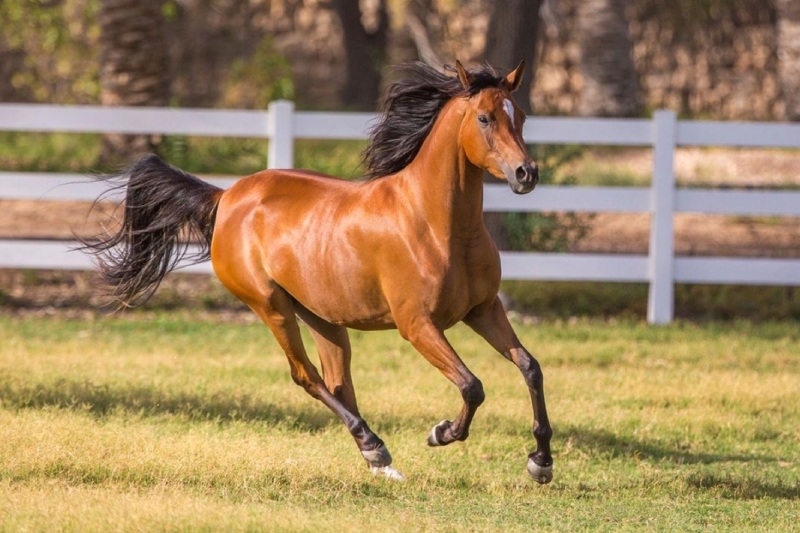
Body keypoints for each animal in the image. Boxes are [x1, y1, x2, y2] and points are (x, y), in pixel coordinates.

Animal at [83, 61, 553, 483]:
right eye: (485, 117)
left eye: (521, 116)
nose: (526, 174)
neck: (435, 222)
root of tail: (226, 197)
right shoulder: (418, 325)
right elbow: (472, 385)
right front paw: (442, 433)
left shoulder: (483, 310)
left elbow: (530, 367)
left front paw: (541, 462)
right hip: (271, 306)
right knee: (306, 375)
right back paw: (375, 447)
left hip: (323, 317)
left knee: (338, 382)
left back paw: (379, 460)